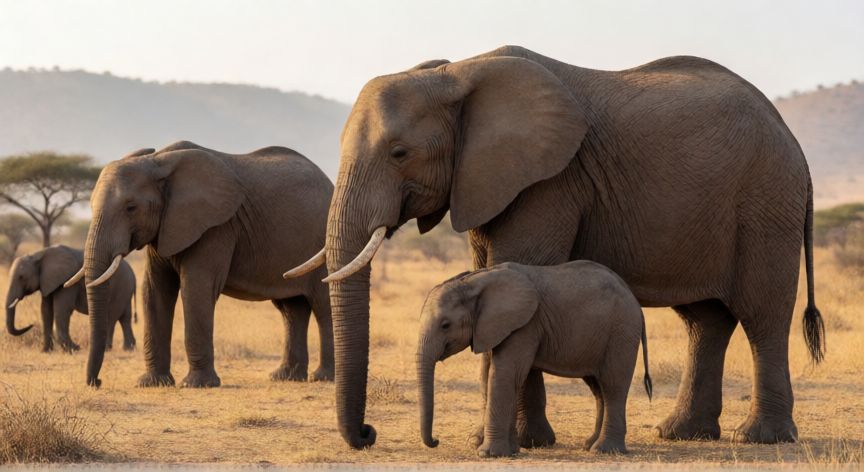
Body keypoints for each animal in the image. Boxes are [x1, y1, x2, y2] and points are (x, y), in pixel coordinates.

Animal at [5, 245, 136, 352]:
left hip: (120, 287)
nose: (30, 325)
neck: (38, 255)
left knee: (111, 317)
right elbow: (46, 311)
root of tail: (133, 275)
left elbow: (62, 310)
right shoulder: (48, 282)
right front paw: (46, 351)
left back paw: (107, 349)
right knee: (125, 318)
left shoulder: (68, 280)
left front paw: (74, 349)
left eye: (21, 277)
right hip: (125, 290)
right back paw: (129, 348)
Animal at [74, 141, 334, 388]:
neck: (158, 162)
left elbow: (196, 288)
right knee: (291, 309)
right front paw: (152, 383)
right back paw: (285, 377)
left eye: (131, 208)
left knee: (323, 306)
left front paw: (196, 384)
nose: (97, 382)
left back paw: (322, 378)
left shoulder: (215, 228)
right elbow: (154, 290)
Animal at [417, 261, 652, 457]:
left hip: (621, 332)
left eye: (445, 325)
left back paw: (603, 450)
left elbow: (505, 374)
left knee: (613, 385)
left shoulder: (525, 325)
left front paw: (488, 454)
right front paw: (511, 451)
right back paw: (589, 445)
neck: (474, 281)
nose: (436, 441)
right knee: (598, 389)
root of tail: (636, 304)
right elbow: (510, 376)